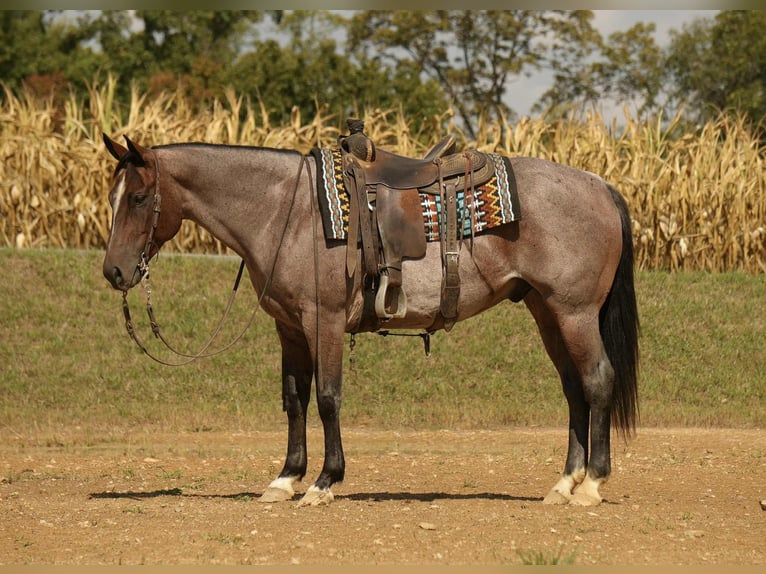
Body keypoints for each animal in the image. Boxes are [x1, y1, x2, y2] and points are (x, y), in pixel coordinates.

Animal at [101, 133, 639, 507]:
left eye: (139, 198)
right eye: (112, 198)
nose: (115, 271)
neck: (286, 211)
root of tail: (601, 187)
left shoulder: (324, 321)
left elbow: (327, 399)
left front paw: (324, 482)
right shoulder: (289, 329)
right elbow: (294, 401)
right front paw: (285, 479)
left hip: (574, 312)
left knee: (597, 382)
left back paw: (591, 485)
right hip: (547, 311)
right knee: (573, 389)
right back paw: (564, 484)